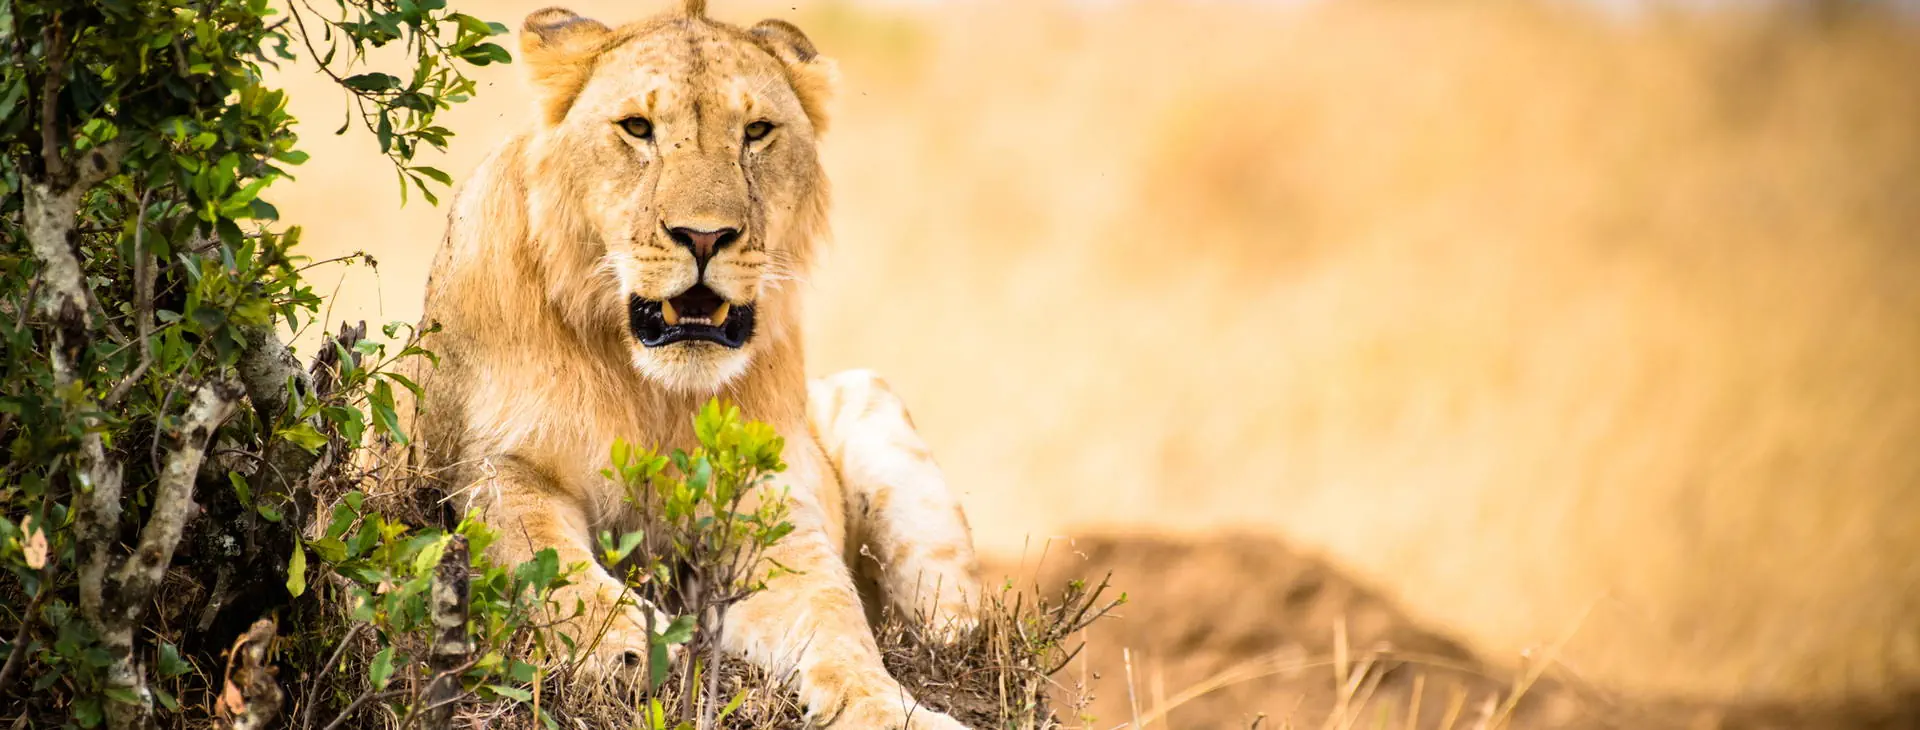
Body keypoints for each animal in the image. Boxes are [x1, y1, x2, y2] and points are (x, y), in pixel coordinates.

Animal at [401, 2, 982, 727]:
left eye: (757, 132)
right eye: (637, 128)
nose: (704, 237)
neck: (655, 393)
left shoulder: (770, 509)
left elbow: (834, 615)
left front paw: (887, 706)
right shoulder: (490, 462)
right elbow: (538, 549)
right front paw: (622, 647)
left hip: (870, 400)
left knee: (948, 621)